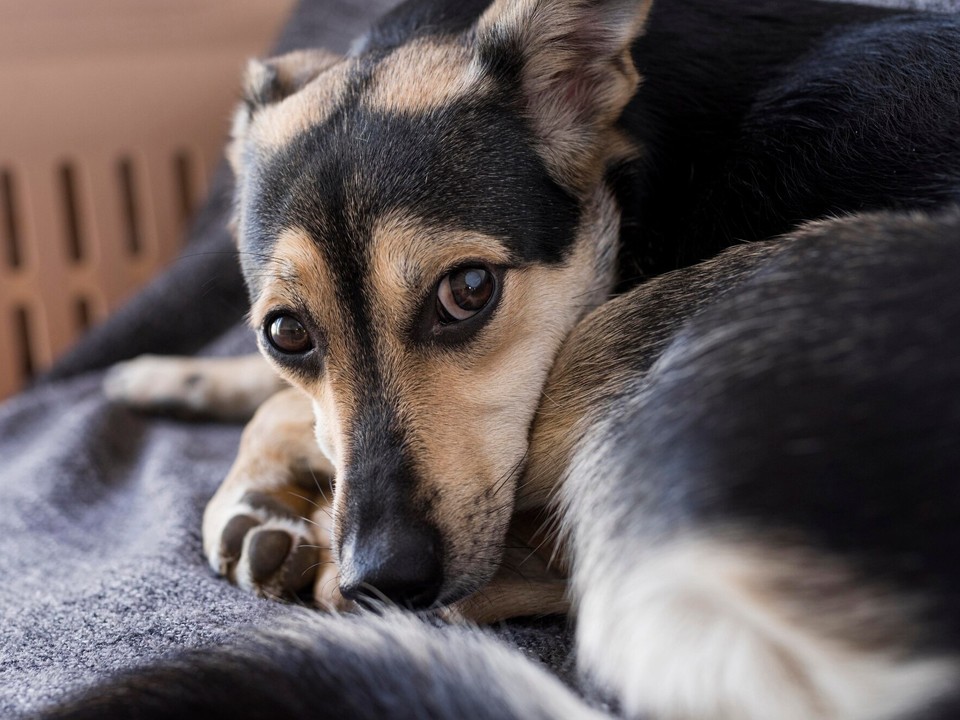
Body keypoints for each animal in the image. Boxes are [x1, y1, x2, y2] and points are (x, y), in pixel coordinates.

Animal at [88, 0, 960, 716]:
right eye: (285, 334)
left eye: (469, 288)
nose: (385, 578)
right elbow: (284, 398)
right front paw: (171, 376)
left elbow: (284, 412)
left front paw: (254, 491)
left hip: (646, 328)